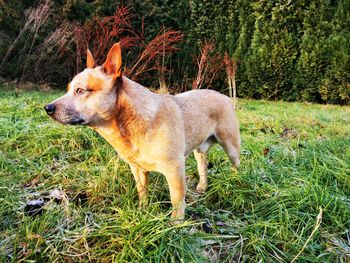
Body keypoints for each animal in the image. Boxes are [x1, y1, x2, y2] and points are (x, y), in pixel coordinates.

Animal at [44, 43, 241, 223]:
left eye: (80, 90)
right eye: (68, 89)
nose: (48, 107)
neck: (130, 122)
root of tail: (224, 96)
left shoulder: (174, 169)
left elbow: (176, 200)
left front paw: (175, 224)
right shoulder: (137, 168)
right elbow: (142, 191)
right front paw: (142, 210)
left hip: (231, 146)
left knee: (235, 165)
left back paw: (235, 181)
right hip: (199, 150)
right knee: (203, 166)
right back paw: (202, 186)